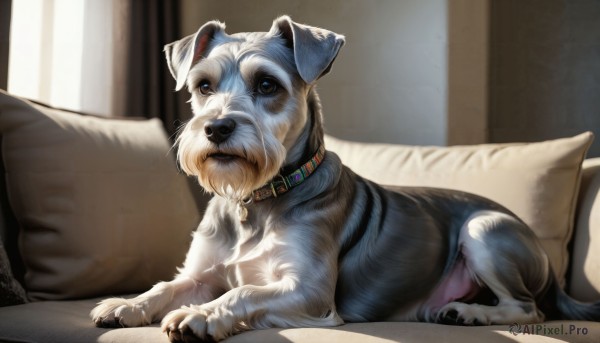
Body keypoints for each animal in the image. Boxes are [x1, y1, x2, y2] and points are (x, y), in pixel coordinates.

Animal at [90, 15, 600, 342]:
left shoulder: (309, 290)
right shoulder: (201, 273)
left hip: (485, 229)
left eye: (267, 85)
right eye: (203, 86)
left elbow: (242, 291)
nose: (216, 128)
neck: (257, 200)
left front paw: (199, 316)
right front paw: (126, 304)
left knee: (528, 306)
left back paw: (468, 311)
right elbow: (168, 286)